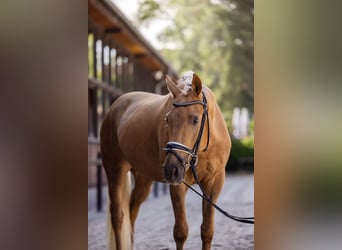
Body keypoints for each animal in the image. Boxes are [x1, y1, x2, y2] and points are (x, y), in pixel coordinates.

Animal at [100, 71, 231, 250]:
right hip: (114, 169)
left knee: (132, 211)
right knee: (118, 216)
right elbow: (181, 231)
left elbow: (207, 231)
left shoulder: (214, 183)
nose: (171, 169)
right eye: (167, 120)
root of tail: (115, 105)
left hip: (143, 179)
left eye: (195, 120)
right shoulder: (177, 185)